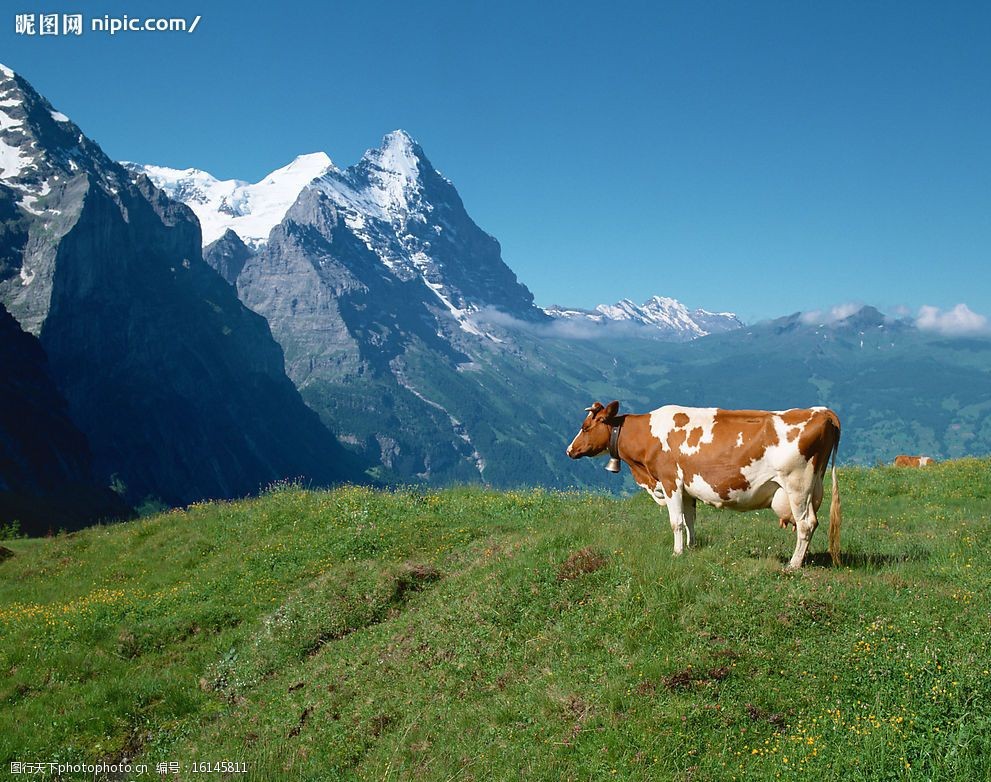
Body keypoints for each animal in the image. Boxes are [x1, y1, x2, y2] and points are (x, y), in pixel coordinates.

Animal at [568, 404, 840, 568]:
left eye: (585, 427)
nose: (569, 450)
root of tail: (822, 411)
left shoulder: (670, 481)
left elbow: (676, 522)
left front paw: (677, 553)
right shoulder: (687, 488)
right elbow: (690, 520)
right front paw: (691, 548)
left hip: (797, 485)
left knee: (806, 524)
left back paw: (793, 565)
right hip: (811, 487)